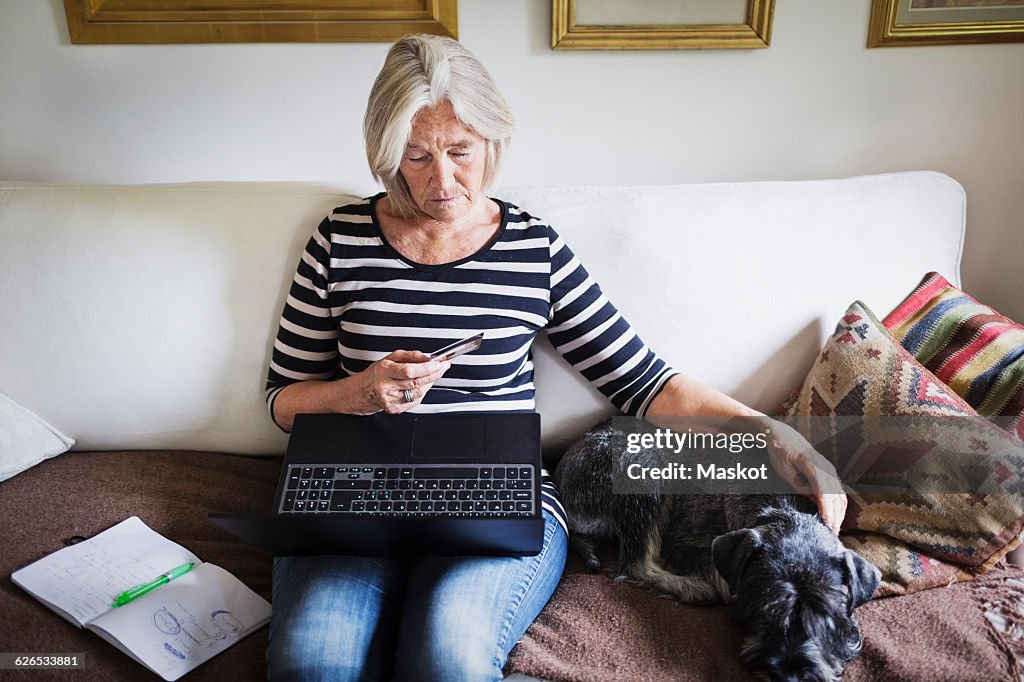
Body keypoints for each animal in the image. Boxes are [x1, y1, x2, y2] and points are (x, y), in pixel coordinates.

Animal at [557, 419, 884, 679]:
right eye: (765, 609)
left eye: (826, 619)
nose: (789, 675)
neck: (778, 510)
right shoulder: (686, 547)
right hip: (644, 465)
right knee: (634, 563)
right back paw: (692, 588)